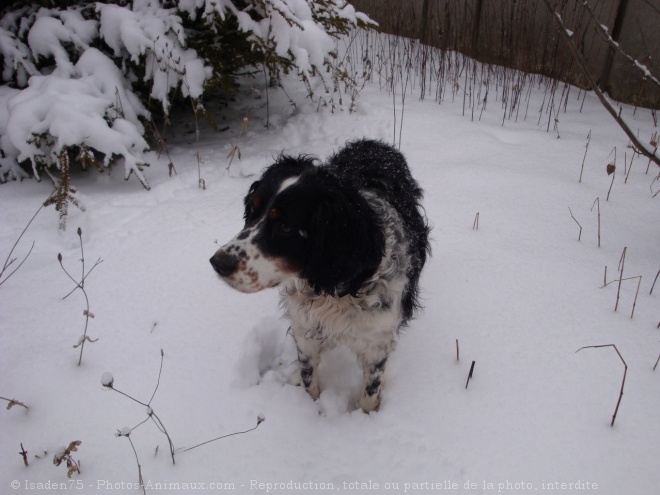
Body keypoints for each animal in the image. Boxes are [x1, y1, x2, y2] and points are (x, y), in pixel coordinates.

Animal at [209, 139, 430, 410]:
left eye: (285, 227)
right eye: (252, 209)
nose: (218, 263)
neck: (336, 290)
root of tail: (373, 142)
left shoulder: (376, 341)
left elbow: (370, 390)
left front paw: (368, 415)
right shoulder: (304, 329)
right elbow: (308, 376)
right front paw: (310, 406)